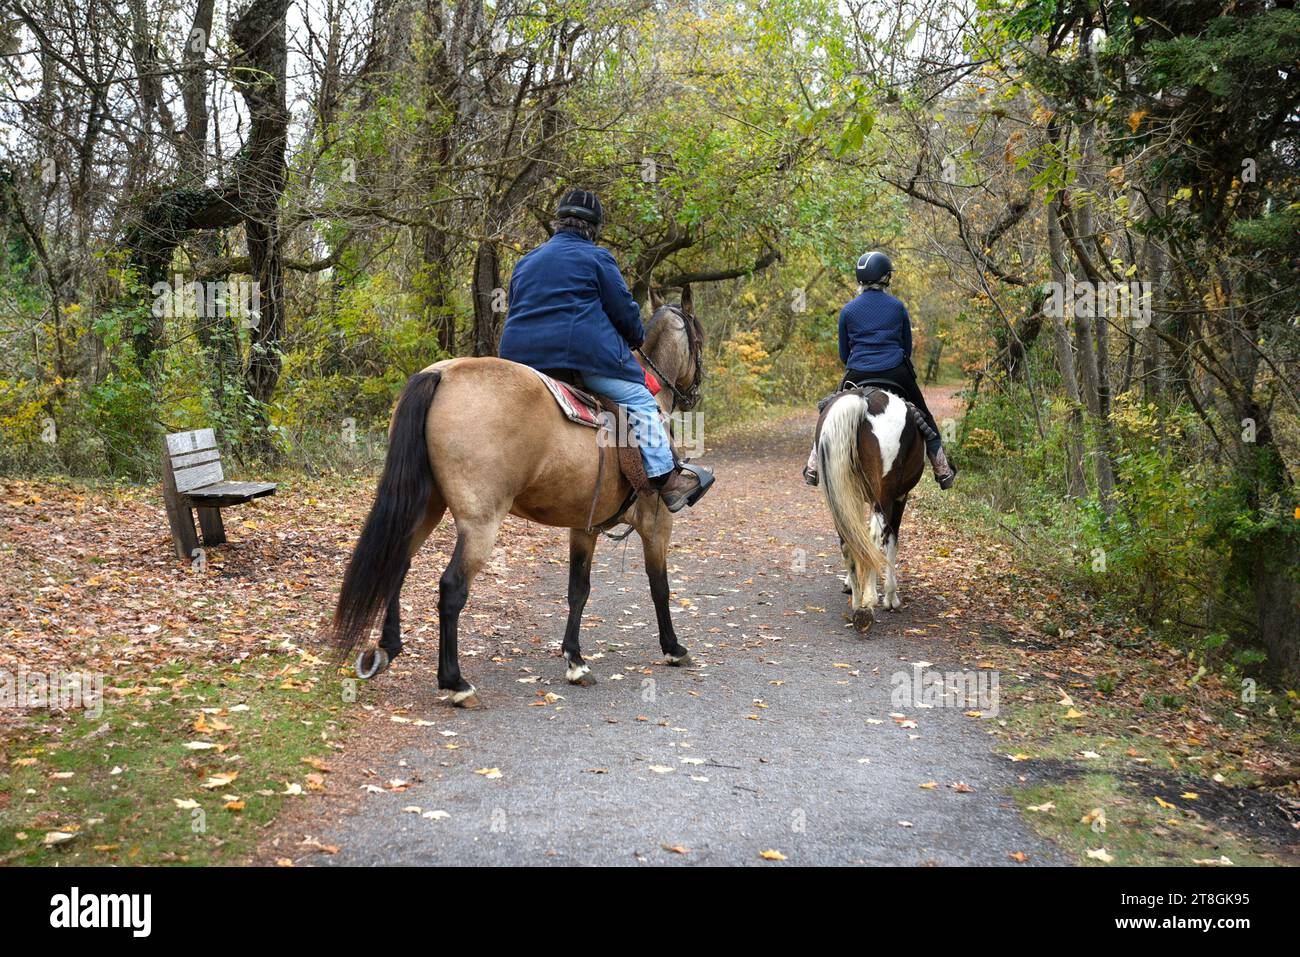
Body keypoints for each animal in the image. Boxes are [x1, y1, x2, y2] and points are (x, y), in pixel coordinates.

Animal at [325, 287, 705, 707]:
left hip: (424, 507)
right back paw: (455, 682)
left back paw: (388, 648)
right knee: (452, 588)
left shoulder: (584, 526)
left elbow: (578, 590)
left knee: (398, 563)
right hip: (481, 522)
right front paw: (673, 648)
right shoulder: (656, 522)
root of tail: (440, 375)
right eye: (700, 338)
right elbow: (659, 586)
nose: (695, 392)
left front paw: (575, 660)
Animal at [813, 385, 925, 633]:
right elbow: (891, 541)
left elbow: (858, 539)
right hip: (884, 496)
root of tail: (863, 400)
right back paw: (869, 602)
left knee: (848, 540)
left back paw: (857, 602)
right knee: (875, 538)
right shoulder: (899, 497)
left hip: (840, 492)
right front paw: (891, 597)